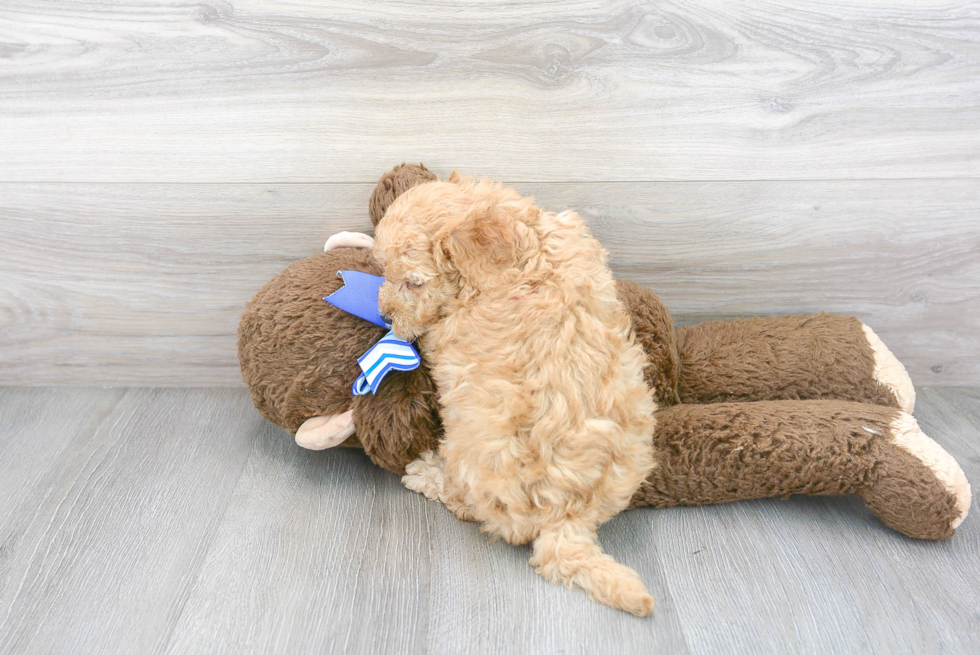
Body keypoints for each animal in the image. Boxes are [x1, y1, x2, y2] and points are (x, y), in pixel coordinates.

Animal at [376, 173, 660, 616]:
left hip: (469, 450)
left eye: (414, 282)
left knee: (471, 504)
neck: (526, 260)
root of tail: (566, 516)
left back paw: (425, 473)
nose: (386, 316)